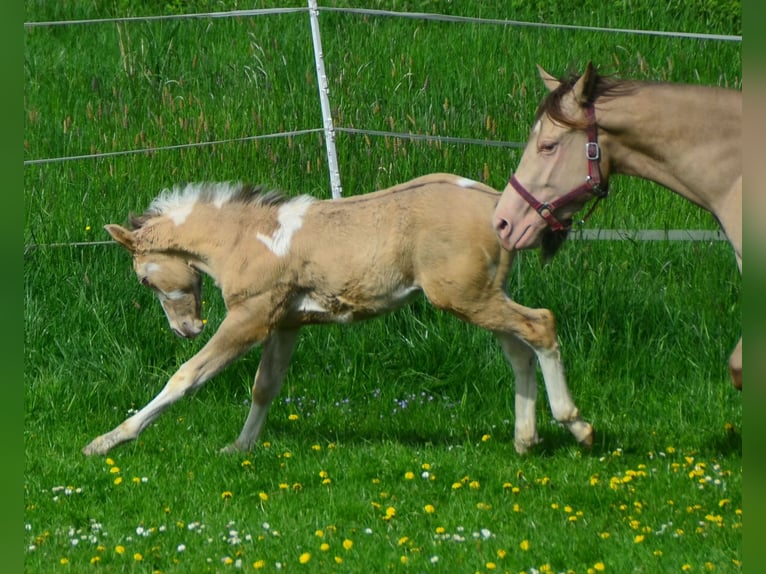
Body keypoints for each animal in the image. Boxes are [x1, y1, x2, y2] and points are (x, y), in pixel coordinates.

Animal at [82, 176, 592, 460]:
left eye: (144, 280)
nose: (185, 329)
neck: (246, 237)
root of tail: (496, 206)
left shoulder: (251, 317)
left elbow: (186, 377)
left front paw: (107, 441)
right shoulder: (286, 323)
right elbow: (264, 387)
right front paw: (239, 449)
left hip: (462, 296)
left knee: (540, 325)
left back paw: (577, 426)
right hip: (480, 296)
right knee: (519, 350)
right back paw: (526, 440)